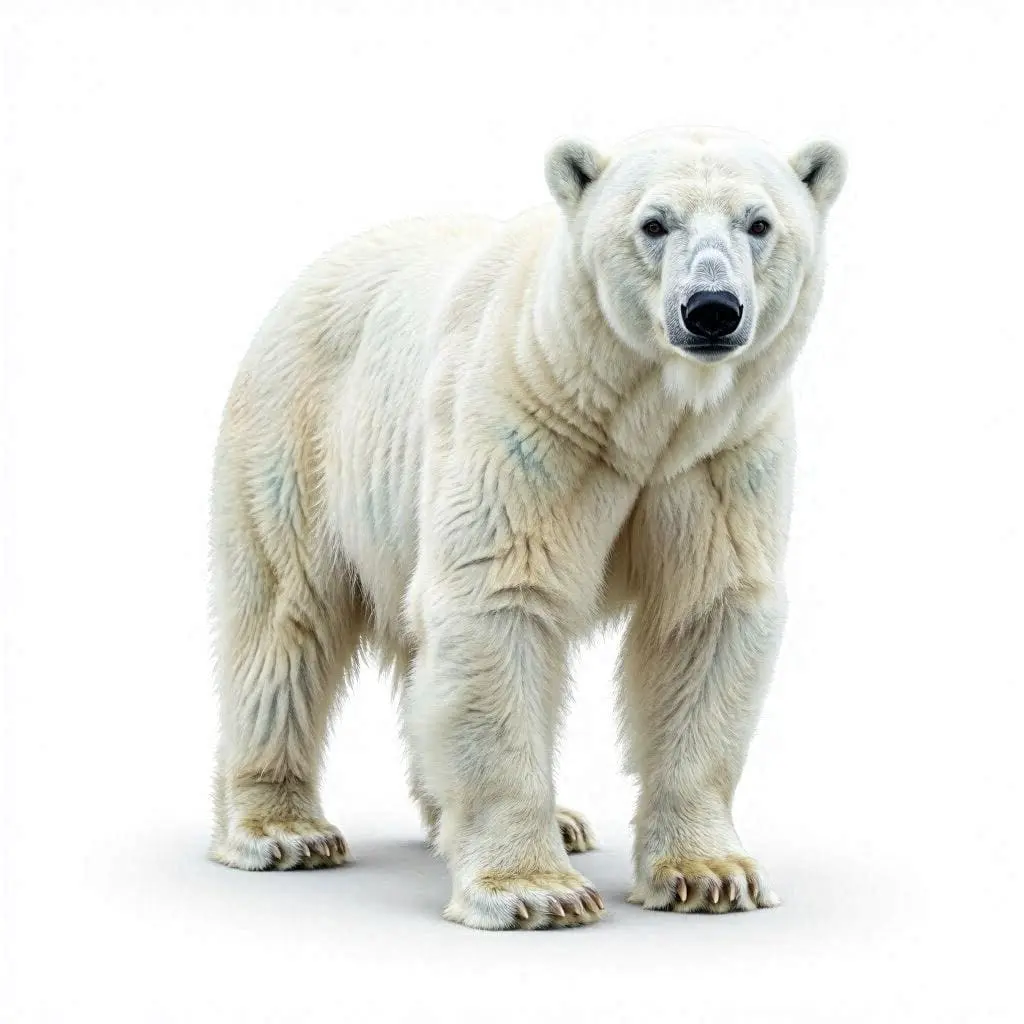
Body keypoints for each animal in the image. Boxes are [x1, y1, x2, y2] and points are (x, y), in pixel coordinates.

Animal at [208, 125, 846, 930]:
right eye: (653, 223)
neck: (638, 415)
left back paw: (547, 820)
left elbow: (707, 614)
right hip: (300, 433)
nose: (711, 309)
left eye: (759, 223)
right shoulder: (528, 422)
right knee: (283, 616)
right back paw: (283, 830)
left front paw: (710, 875)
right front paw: (532, 890)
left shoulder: (720, 456)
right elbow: (497, 598)